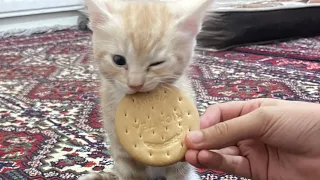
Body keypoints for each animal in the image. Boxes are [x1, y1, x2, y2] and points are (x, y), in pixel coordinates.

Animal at [80, 0, 212, 180]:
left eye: (157, 63)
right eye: (118, 60)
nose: (135, 84)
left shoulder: (180, 157)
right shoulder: (121, 148)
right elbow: (130, 172)